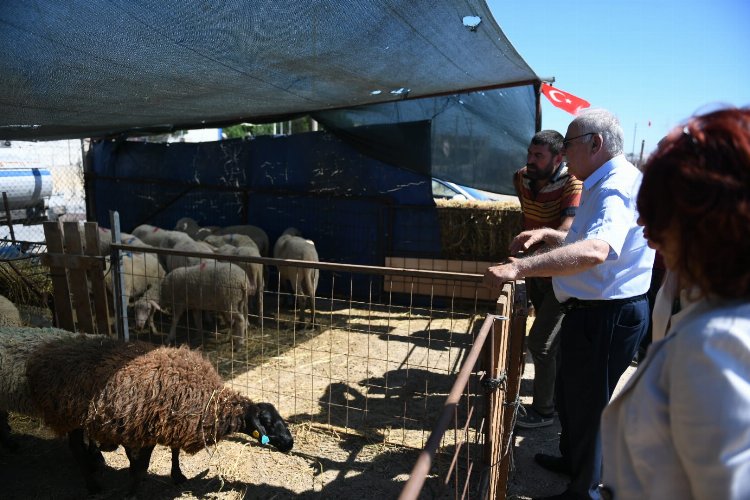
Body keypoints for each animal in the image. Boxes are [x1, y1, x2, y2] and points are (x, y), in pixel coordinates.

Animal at [25, 336, 294, 496]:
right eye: (267, 422)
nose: (290, 443)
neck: (212, 403)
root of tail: (44, 352)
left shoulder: (171, 422)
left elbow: (173, 453)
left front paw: (177, 476)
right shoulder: (147, 431)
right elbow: (141, 467)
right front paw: (133, 492)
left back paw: (96, 461)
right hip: (67, 416)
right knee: (76, 449)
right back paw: (92, 484)